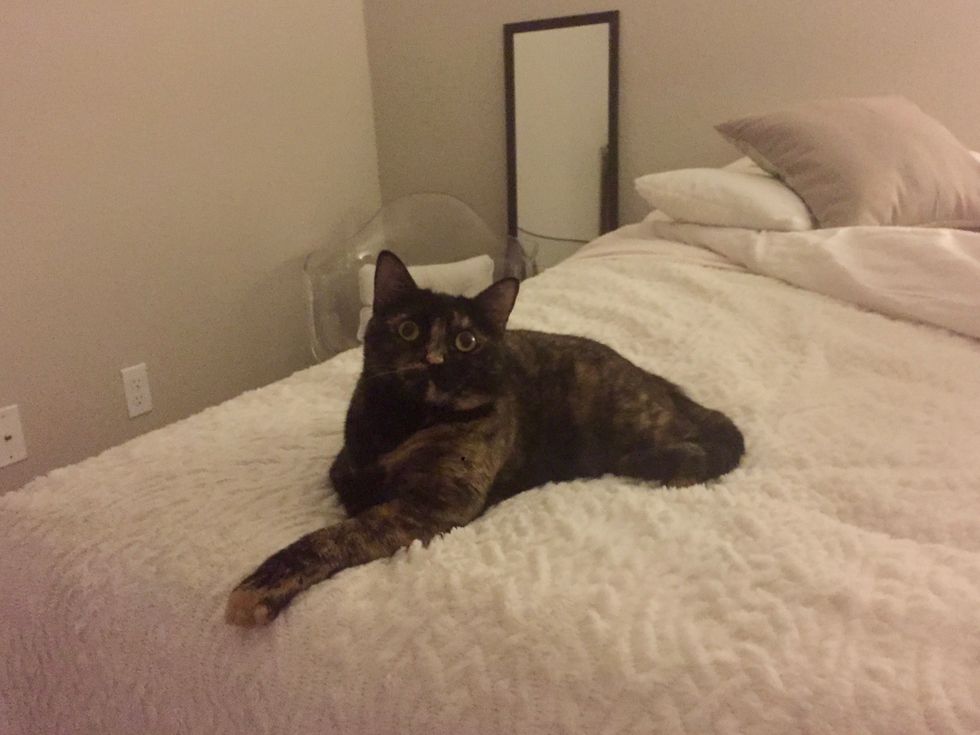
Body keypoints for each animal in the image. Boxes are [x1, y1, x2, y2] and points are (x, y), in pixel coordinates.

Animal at [225, 250, 744, 626]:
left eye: (466, 342)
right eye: (409, 329)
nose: (434, 361)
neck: (403, 422)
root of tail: (656, 379)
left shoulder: (440, 500)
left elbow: (338, 534)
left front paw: (260, 587)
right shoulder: (345, 465)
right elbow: (352, 491)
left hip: (629, 420)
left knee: (701, 444)